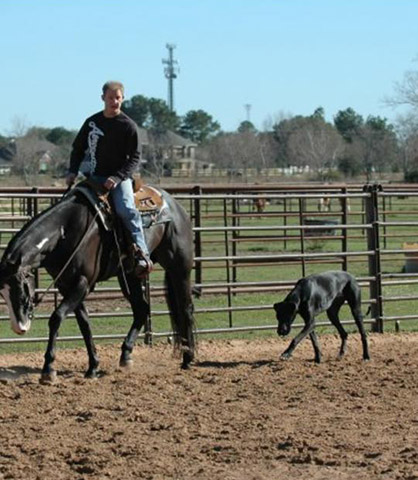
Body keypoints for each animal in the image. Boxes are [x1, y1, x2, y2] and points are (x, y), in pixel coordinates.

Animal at [0, 185, 195, 382]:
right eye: (3, 293)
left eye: (21, 289)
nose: (19, 328)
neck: (65, 231)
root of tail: (174, 204)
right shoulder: (66, 285)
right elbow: (84, 324)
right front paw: (93, 367)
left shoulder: (83, 282)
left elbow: (57, 317)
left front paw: (48, 368)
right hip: (130, 275)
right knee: (141, 309)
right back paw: (126, 356)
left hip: (179, 266)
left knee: (185, 308)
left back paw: (188, 358)